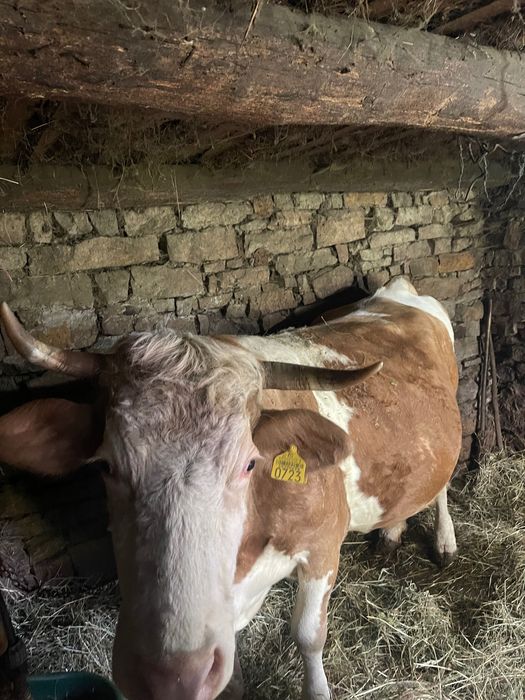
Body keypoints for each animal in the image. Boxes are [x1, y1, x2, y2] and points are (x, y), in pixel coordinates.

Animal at [0, 277, 461, 700]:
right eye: (106, 465)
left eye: (249, 463)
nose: (169, 677)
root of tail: (397, 289)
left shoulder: (323, 546)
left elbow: (308, 635)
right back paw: (392, 531)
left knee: (441, 485)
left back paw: (444, 542)